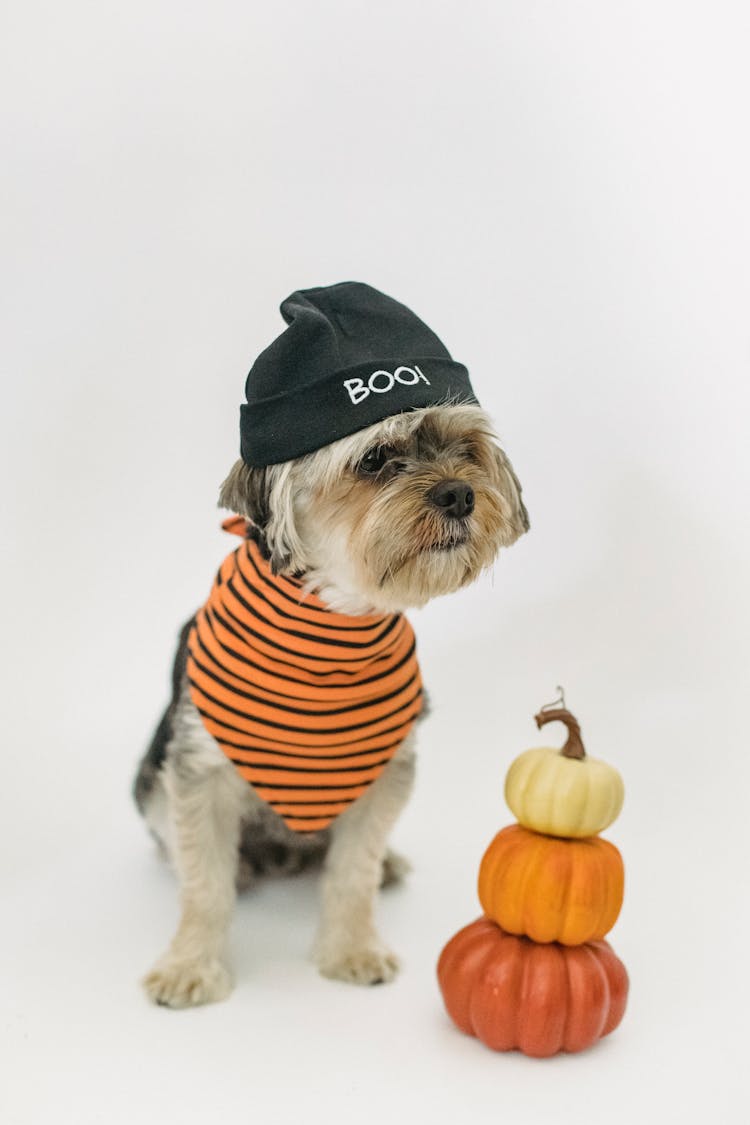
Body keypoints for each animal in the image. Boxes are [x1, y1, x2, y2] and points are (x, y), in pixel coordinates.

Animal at [133, 285, 528, 1008]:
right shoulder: (197, 772)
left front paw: (352, 948)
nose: (460, 494)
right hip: (150, 781)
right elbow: (204, 886)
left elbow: (353, 873)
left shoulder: (386, 772)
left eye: (465, 448)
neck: (335, 626)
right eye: (373, 460)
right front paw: (190, 964)